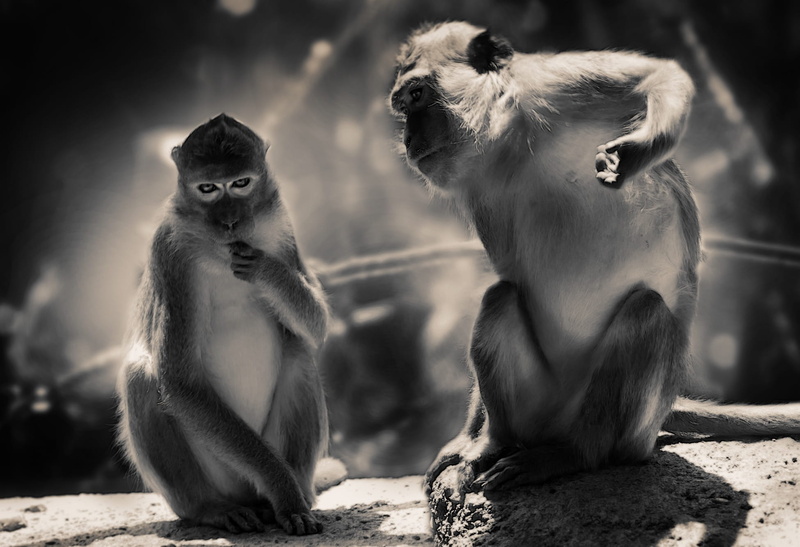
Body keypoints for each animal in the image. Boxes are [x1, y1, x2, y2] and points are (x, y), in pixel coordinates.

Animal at [116, 113, 339, 535]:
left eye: (240, 183)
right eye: (208, 188)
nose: (231, 221)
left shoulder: (281, 225)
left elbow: (317, 326)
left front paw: (267, 270)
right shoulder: (170, 255)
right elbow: (181, 383)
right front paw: (282, 489)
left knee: (299, 353)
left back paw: (301, 491)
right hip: (219, 470)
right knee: (141, 378)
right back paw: (214, 508)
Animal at [388, 22, 800, 496]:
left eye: (418, 95)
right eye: (403, 106)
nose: (409, 138)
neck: (508, 146)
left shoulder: (549, 85)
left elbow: (658, 75)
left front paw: (635, 154)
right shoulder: (478, 187)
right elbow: (511, 278)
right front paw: (465, 440)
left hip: (630, 427)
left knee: (645, 313)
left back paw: (575, 454)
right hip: (539, 404)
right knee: (501, 297)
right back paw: (495, 442)